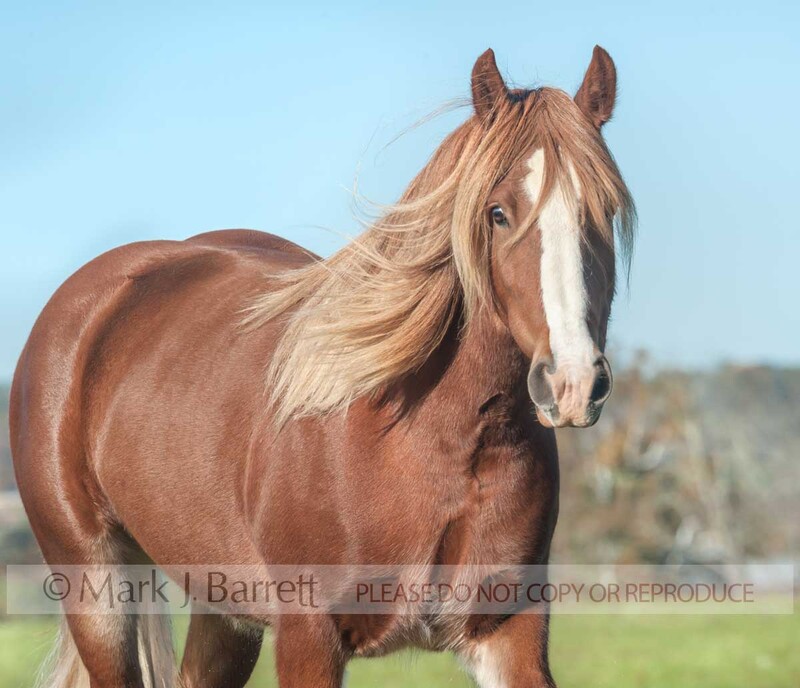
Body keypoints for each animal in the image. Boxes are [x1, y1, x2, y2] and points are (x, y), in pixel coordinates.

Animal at [10, 45, 635, 688]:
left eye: (605, 210)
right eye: (498, 212)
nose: (573, 382)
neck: (432, 440)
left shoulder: (509, 633)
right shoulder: (308, 635)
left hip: (222, 606)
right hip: (97, 584)